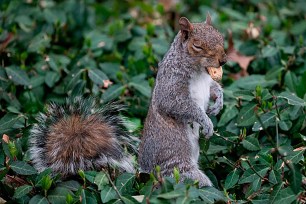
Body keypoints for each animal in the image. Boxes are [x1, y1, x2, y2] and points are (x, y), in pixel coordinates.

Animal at [28, 13, 226, 186]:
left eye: (221, 37)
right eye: (197, 46)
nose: (223, 61)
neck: (199, 71)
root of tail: (144, 174)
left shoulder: (207, 81)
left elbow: (214, 88)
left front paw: (218, 104)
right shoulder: (171, 83)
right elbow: (176, 104)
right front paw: (205, 120)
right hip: (176, 167)